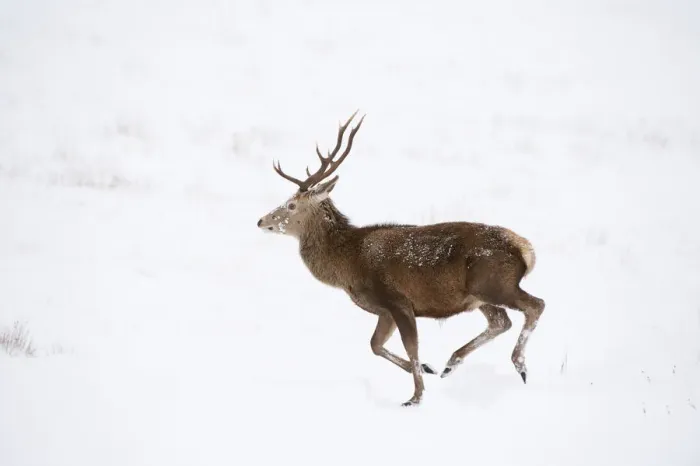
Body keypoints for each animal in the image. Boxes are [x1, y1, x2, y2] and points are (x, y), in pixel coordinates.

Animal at [257, 111, 545, 407]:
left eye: (291, 205)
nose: (261, 221)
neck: (349, 265)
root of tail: (526, 248)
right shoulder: (384, 310)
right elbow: (375, 345)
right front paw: (428, 369)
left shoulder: (397, 300)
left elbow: (410, 347)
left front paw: (415, 397)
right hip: (479, 295)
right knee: (501, 321)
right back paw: (451, 363)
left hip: (494, 282)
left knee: (535, 305)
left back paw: (519, 364)